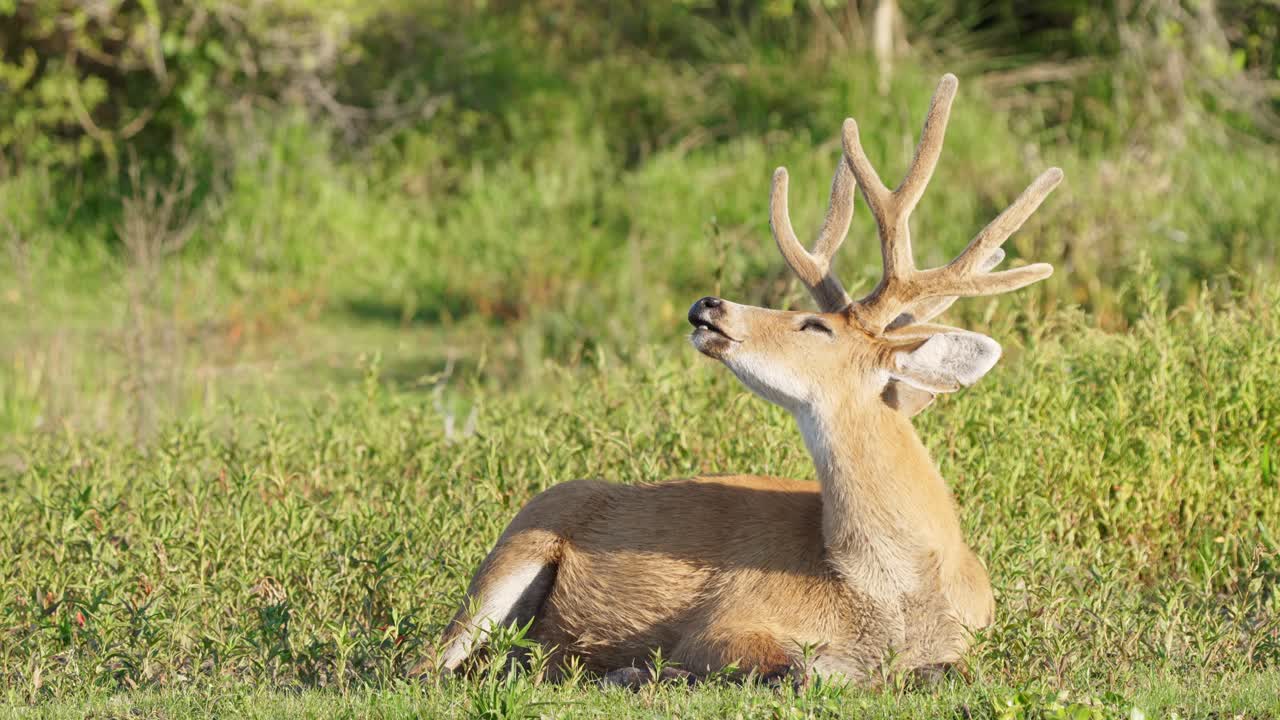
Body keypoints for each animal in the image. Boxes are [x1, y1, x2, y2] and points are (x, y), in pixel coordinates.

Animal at [431, 73, 1062, 687]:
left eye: (814, 325)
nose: (708, 304)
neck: (897, 589)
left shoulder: (966, 641)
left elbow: (942, 674)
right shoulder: (727, 618)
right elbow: (798, 671)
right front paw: (638, 671)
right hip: (510, 554)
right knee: (433, 665)